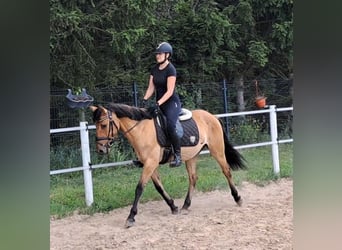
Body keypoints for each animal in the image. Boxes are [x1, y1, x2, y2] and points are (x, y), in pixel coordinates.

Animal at [89, 102, 247, 228]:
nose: (101, 150)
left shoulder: (150, 163)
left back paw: (238, 198)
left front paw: (131, 218)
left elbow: (139, 188)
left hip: (217, 151)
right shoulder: (150, 164)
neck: (141, 130)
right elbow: (159, 187)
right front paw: (173, 206)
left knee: (226, 171)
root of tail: (212, 117)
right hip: (192, 156)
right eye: (96, 126)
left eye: (103, 125)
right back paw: (185, 205)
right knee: (193, 178)